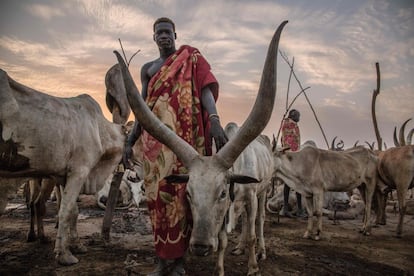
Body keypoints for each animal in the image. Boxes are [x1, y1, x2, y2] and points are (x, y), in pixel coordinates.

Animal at [0, 69, 126, 266]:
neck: (98, 128)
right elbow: (65, 210)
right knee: (37, 204)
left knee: (36, 204)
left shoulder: (64, 177)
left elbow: (73, 210)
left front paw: (77, 245)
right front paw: (63, 254)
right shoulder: (79, 172)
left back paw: (36, 236)